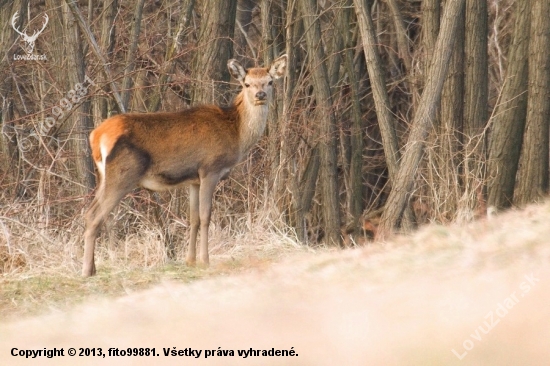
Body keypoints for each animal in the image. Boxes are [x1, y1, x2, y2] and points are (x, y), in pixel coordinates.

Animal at [83, 54, 288, 276]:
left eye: (270, 82)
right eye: (246, 83)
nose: (260, 95)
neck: (236, 134)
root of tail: (96, 136)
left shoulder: (193, 180)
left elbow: (193, 218)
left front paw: (190, 261)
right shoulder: (210, 169)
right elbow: (206, 216)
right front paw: (205, 261)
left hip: (104, 176)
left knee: (89, 212)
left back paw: (92, 268)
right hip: (122, 175)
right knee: (94, 216)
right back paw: (86, 270)